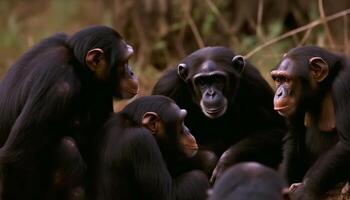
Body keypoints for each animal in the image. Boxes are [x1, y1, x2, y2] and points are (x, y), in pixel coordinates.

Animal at [0, 25, 139, 199]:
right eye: (125, 61)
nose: (132, 72)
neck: (78, 65)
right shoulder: (58, 88)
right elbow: (16, 155)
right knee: (67, 148)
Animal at [153, 46, 288, 183]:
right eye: (201, 82)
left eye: (218, 79)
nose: (211, 94)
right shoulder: (166, 88)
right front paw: (210, 161)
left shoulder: (255, 81)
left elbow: (277, 129)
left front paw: (227, 161)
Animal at [270, 45, 350, 200]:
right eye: (278, 79)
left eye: (287, 80)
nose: (279, 93)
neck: (326, 84)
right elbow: (293, 137)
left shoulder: (344, 84)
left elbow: (346, 143)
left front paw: (304, 190)